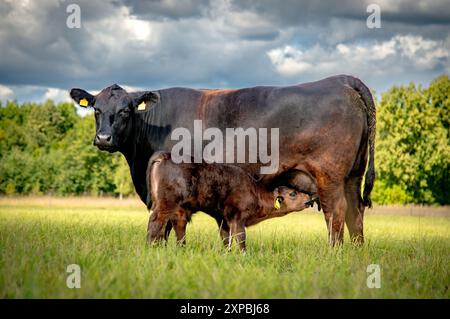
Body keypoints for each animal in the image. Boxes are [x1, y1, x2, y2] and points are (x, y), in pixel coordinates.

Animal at [69, 74, 372, 245]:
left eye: (126, 111)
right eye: (96, 109)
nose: (104, 138)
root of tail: (340, 80)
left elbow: (169, 227)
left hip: (328, 176)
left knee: (336, 212)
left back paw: (333, 253)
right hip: (353, 175)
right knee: (355, 213)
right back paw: (355, 254)